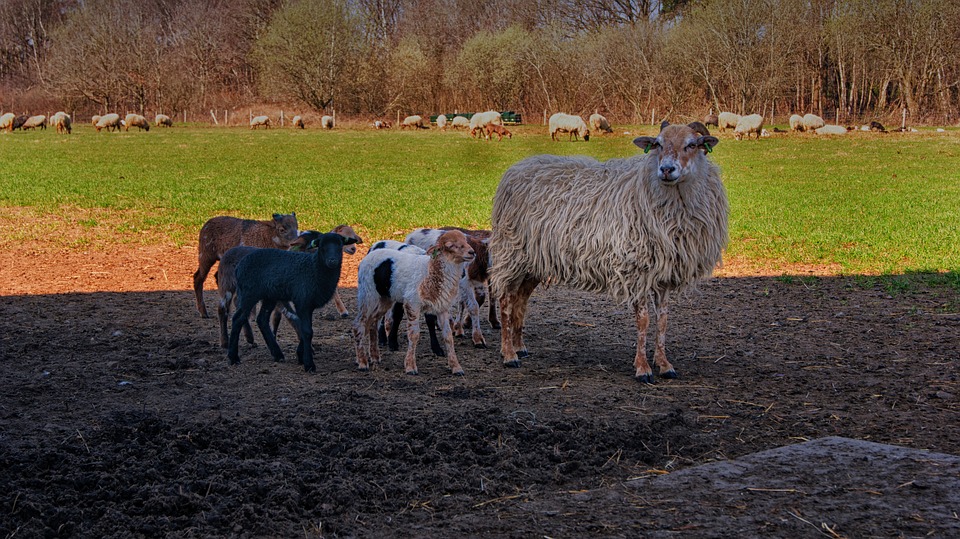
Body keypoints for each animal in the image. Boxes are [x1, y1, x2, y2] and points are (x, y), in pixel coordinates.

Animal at [227, 230, 358, 374]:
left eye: (340, 245)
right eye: (322, 245)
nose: (332, 261)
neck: (313, 269)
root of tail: (239, 266)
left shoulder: (308, 304)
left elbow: (308, 330)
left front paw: (300, 355)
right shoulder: (302, 301)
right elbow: (307, 331)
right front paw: (309, 364)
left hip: (269, 296)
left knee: (262, 319)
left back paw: (277, 354)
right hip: (249, 293)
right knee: (238, 318)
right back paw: (233, 357)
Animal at [488, 122, 728, 384]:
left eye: (692, 145)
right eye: (658, 144)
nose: (666, 169)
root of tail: (517, 167)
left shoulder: (664, 274)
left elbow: (663, 320)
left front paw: (665, 365)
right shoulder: (636, 269)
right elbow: (643, 319)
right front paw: (643, 368)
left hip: (534, 260)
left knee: (520, 299)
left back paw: (519, 346)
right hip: (512, 251)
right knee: (505, 299)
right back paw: (508, 354)